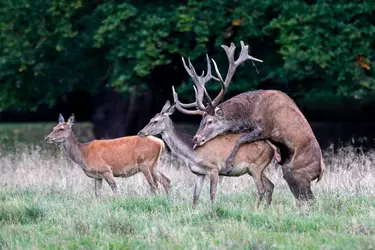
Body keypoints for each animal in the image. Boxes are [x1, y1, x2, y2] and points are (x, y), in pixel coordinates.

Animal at [44, 114, 172, 197]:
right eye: (53, 128)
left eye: (61, 129)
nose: (47, 138)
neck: (83, 153)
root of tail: (161, 142)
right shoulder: (97, 176)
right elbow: (97, 194)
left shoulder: (105, 170)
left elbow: (115, 189)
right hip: (154, 165)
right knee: (166, 181)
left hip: (145, 163)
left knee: (154, 185)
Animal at [137, 100, 280, 208]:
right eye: (151, 119)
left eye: (155, 121)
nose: (140, 132)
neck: (193, 154)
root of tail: (272, 148)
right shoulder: (199, 173)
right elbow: (195, 196)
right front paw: (194, 211)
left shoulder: (214, 168)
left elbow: (212, 193)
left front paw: (213, 209)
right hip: (255, 169)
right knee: (270, 185)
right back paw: (266, 208)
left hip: (256, 165)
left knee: (261, 188)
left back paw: (256, 209)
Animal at [173, 40, 326, 205]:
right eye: (201, 120)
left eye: (210, 121)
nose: (196, 138)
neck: (250, 112)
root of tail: (321, 171)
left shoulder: (264, 129)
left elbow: (240, 139)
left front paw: (229, 165)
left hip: (298, 172)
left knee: (309, 198)